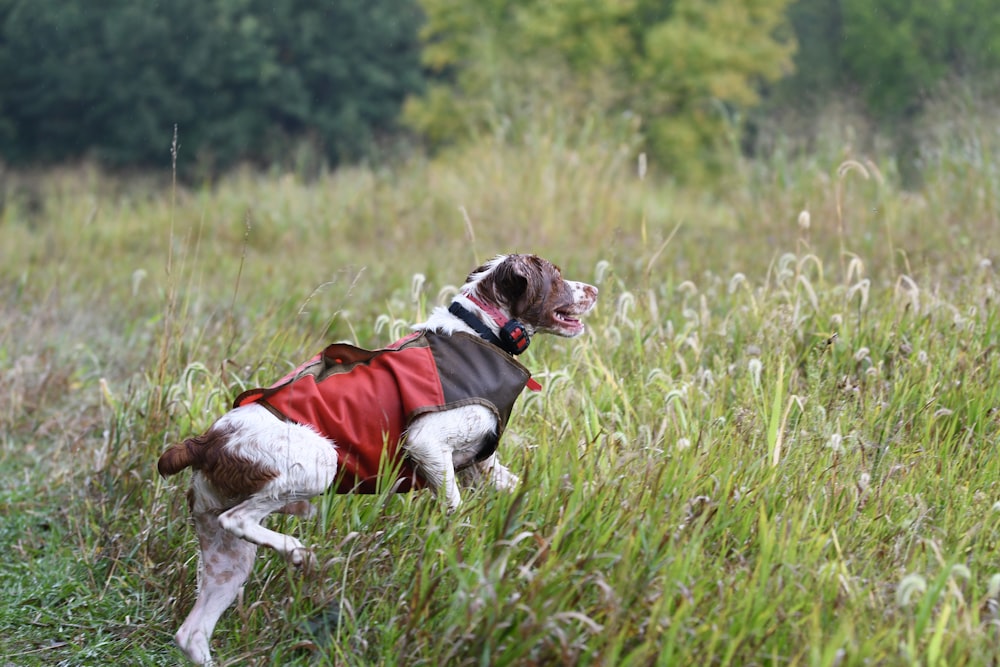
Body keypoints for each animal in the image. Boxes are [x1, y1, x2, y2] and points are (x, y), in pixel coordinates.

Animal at [156, 253, 592, 664]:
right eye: (555, 275)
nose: (594, 289)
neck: (482, 330)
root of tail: (205, 440)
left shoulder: (479, 466)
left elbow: (524, 493)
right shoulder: (426, 443)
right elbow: (455, 512)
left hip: (226, 554)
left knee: (191, 634)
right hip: (318, 462)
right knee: (240, 519)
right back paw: (298, 551)